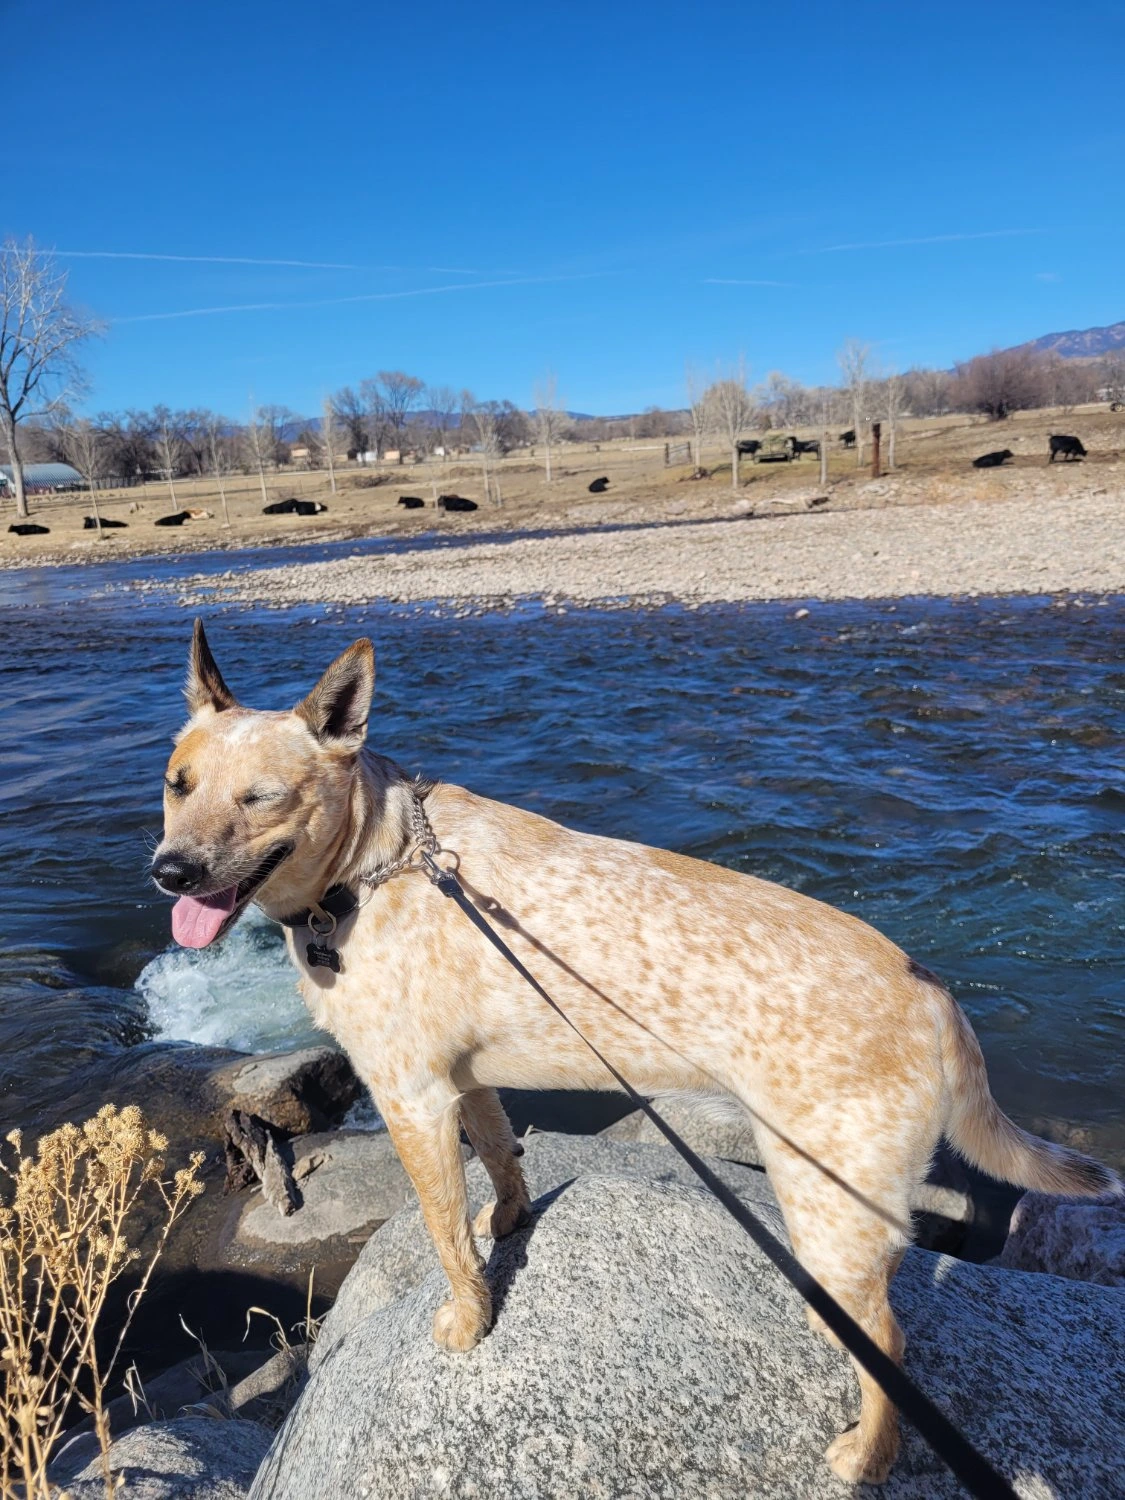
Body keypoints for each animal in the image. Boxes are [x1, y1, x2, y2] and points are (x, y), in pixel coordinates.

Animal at [151, 624, 1120, 1486]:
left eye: (261, 797)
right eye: (176, 784)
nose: (170, 871)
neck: (372, 863)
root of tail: (934, 990)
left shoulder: (411, 1098)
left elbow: (442, 1232)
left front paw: (469, 1322)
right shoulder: (465, 1081)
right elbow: (500, 1158)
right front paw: (507, 1222)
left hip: (823, 1203)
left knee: (888, 1340)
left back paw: (866, 1458)